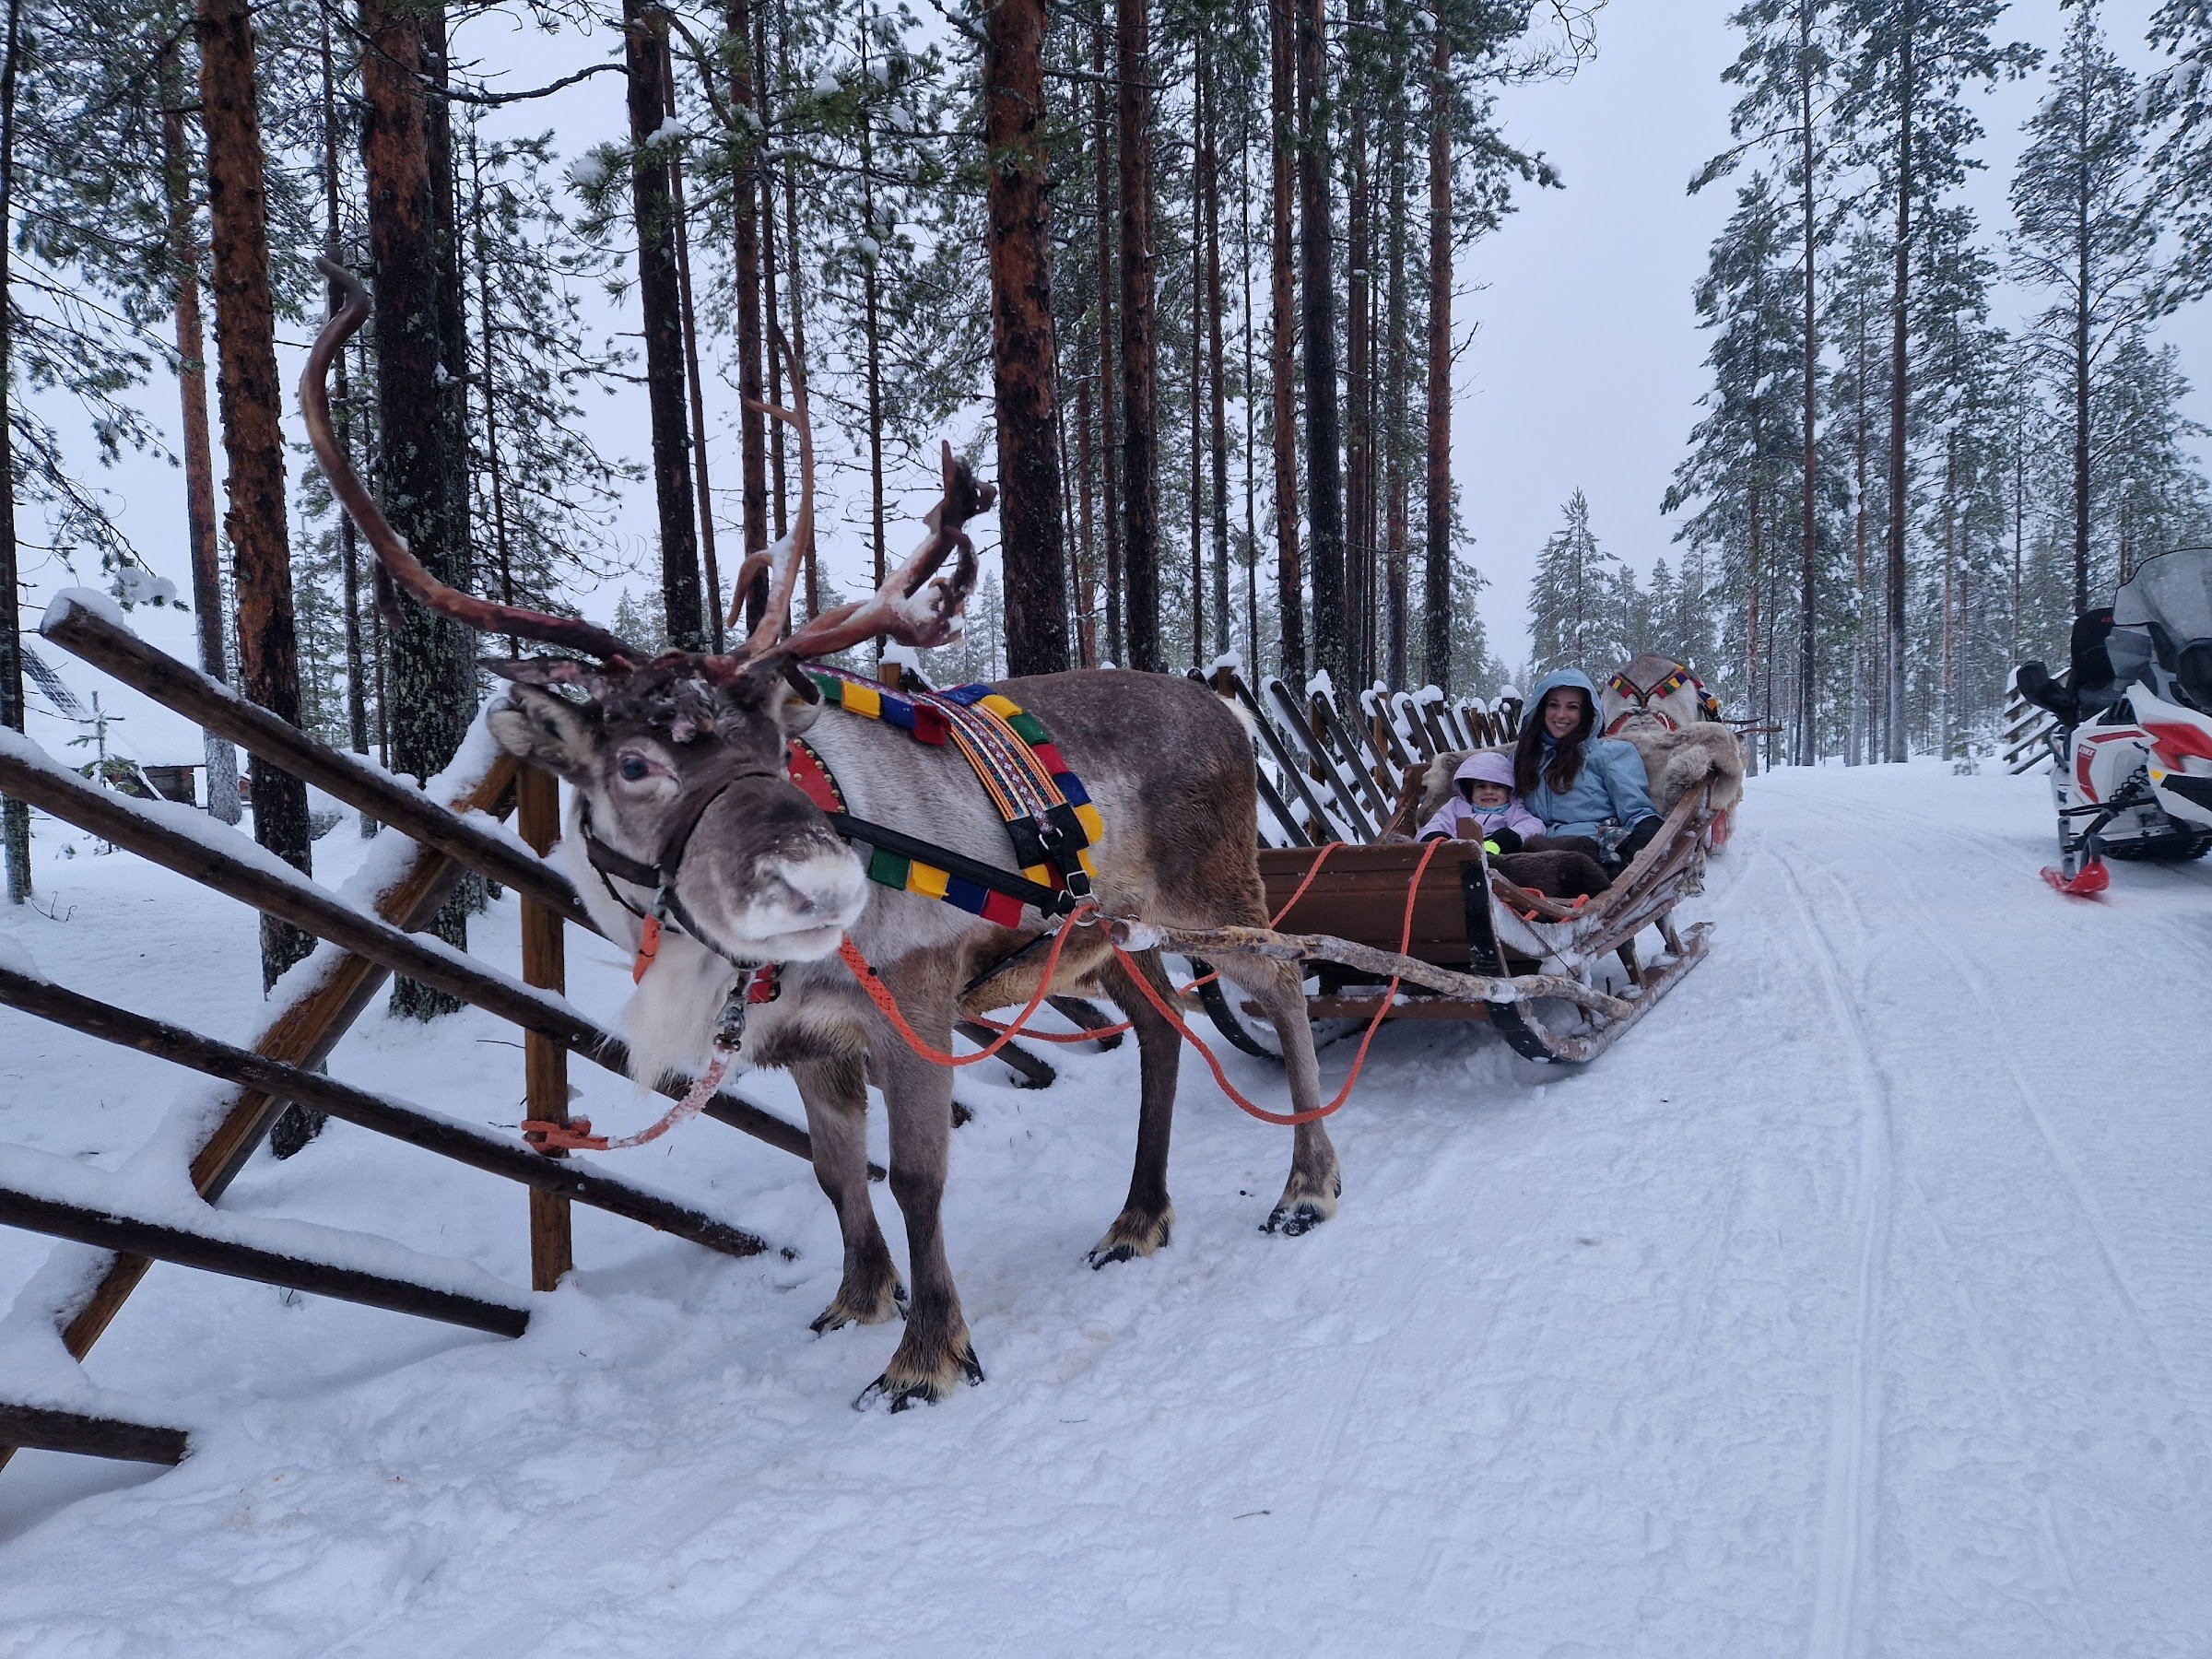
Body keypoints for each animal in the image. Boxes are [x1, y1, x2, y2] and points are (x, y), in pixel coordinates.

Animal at [302, 261, 1340, 1408]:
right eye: (633, 764)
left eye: (769, 735)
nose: (818, 885)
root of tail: (1229, 712)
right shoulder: (802, 1042)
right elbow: (839, 1173)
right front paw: (858, 1299)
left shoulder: (915, 1004)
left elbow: (920, 1177)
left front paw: (927, 1355)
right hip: (1100, 939)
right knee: (1161, 1032)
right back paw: (1139, 1217)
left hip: (1214, 897)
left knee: (1285, 981)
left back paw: (1306, 1187)